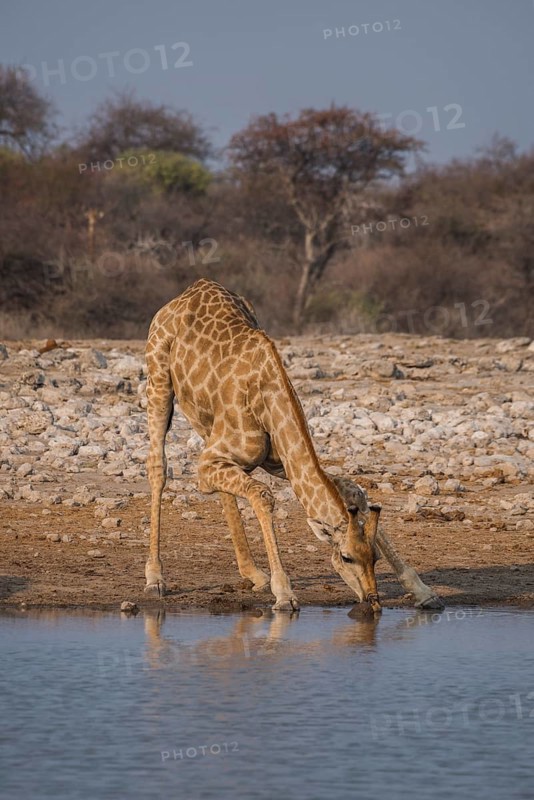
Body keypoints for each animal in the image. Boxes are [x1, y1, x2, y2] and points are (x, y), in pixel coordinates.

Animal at [144, 279, 443, 612]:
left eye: (374, 557)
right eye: (346, 557)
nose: (372, 601)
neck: (267, 395)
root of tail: (190, 290)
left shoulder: (281, 462)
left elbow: (352, 489)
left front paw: (423, 591)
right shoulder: (211, 462)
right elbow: (261, 495)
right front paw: (284, 593)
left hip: (206, 423)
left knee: (220, 488)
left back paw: (253, 574)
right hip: (158, 381)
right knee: (158, 467)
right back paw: (155, 578)